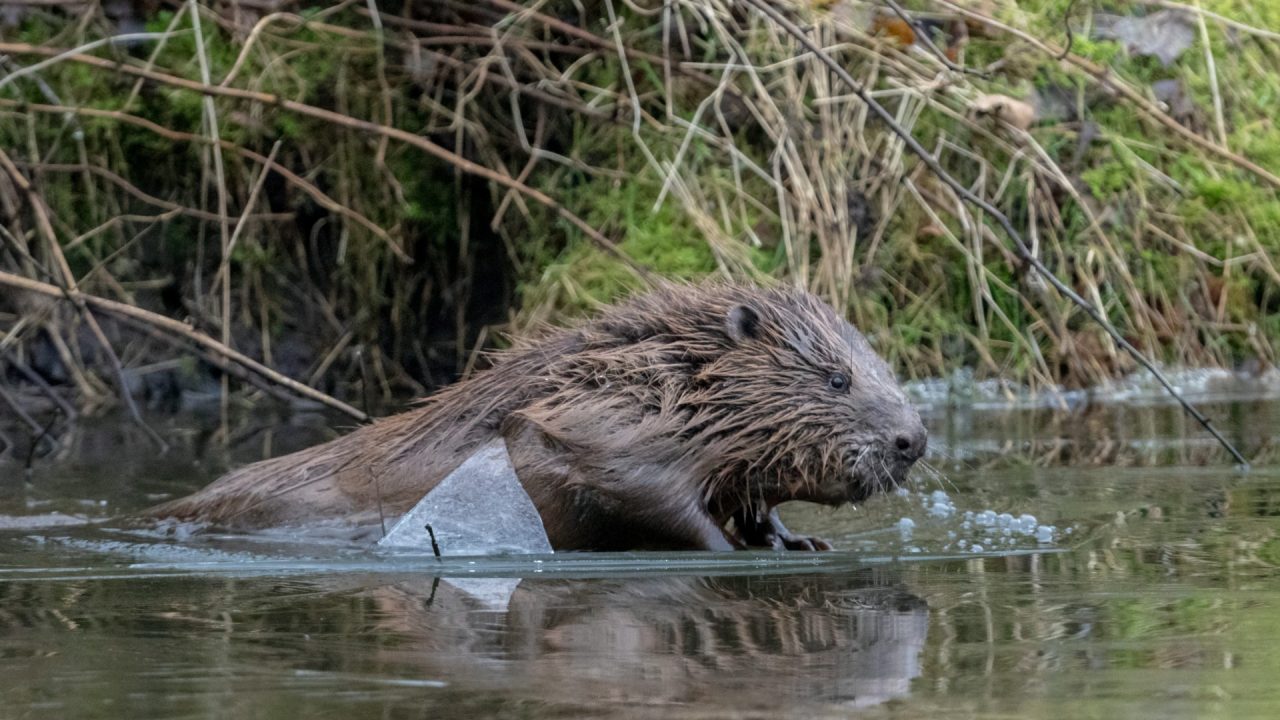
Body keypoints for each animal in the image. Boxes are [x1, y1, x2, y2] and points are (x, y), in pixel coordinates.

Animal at [149, 281, 926, 548]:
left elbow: (750, 496)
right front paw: (732, 548)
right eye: (836, 378)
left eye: (885, 369)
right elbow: (647, 494)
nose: (913, 440)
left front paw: (796, 542)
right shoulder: (598, 425)